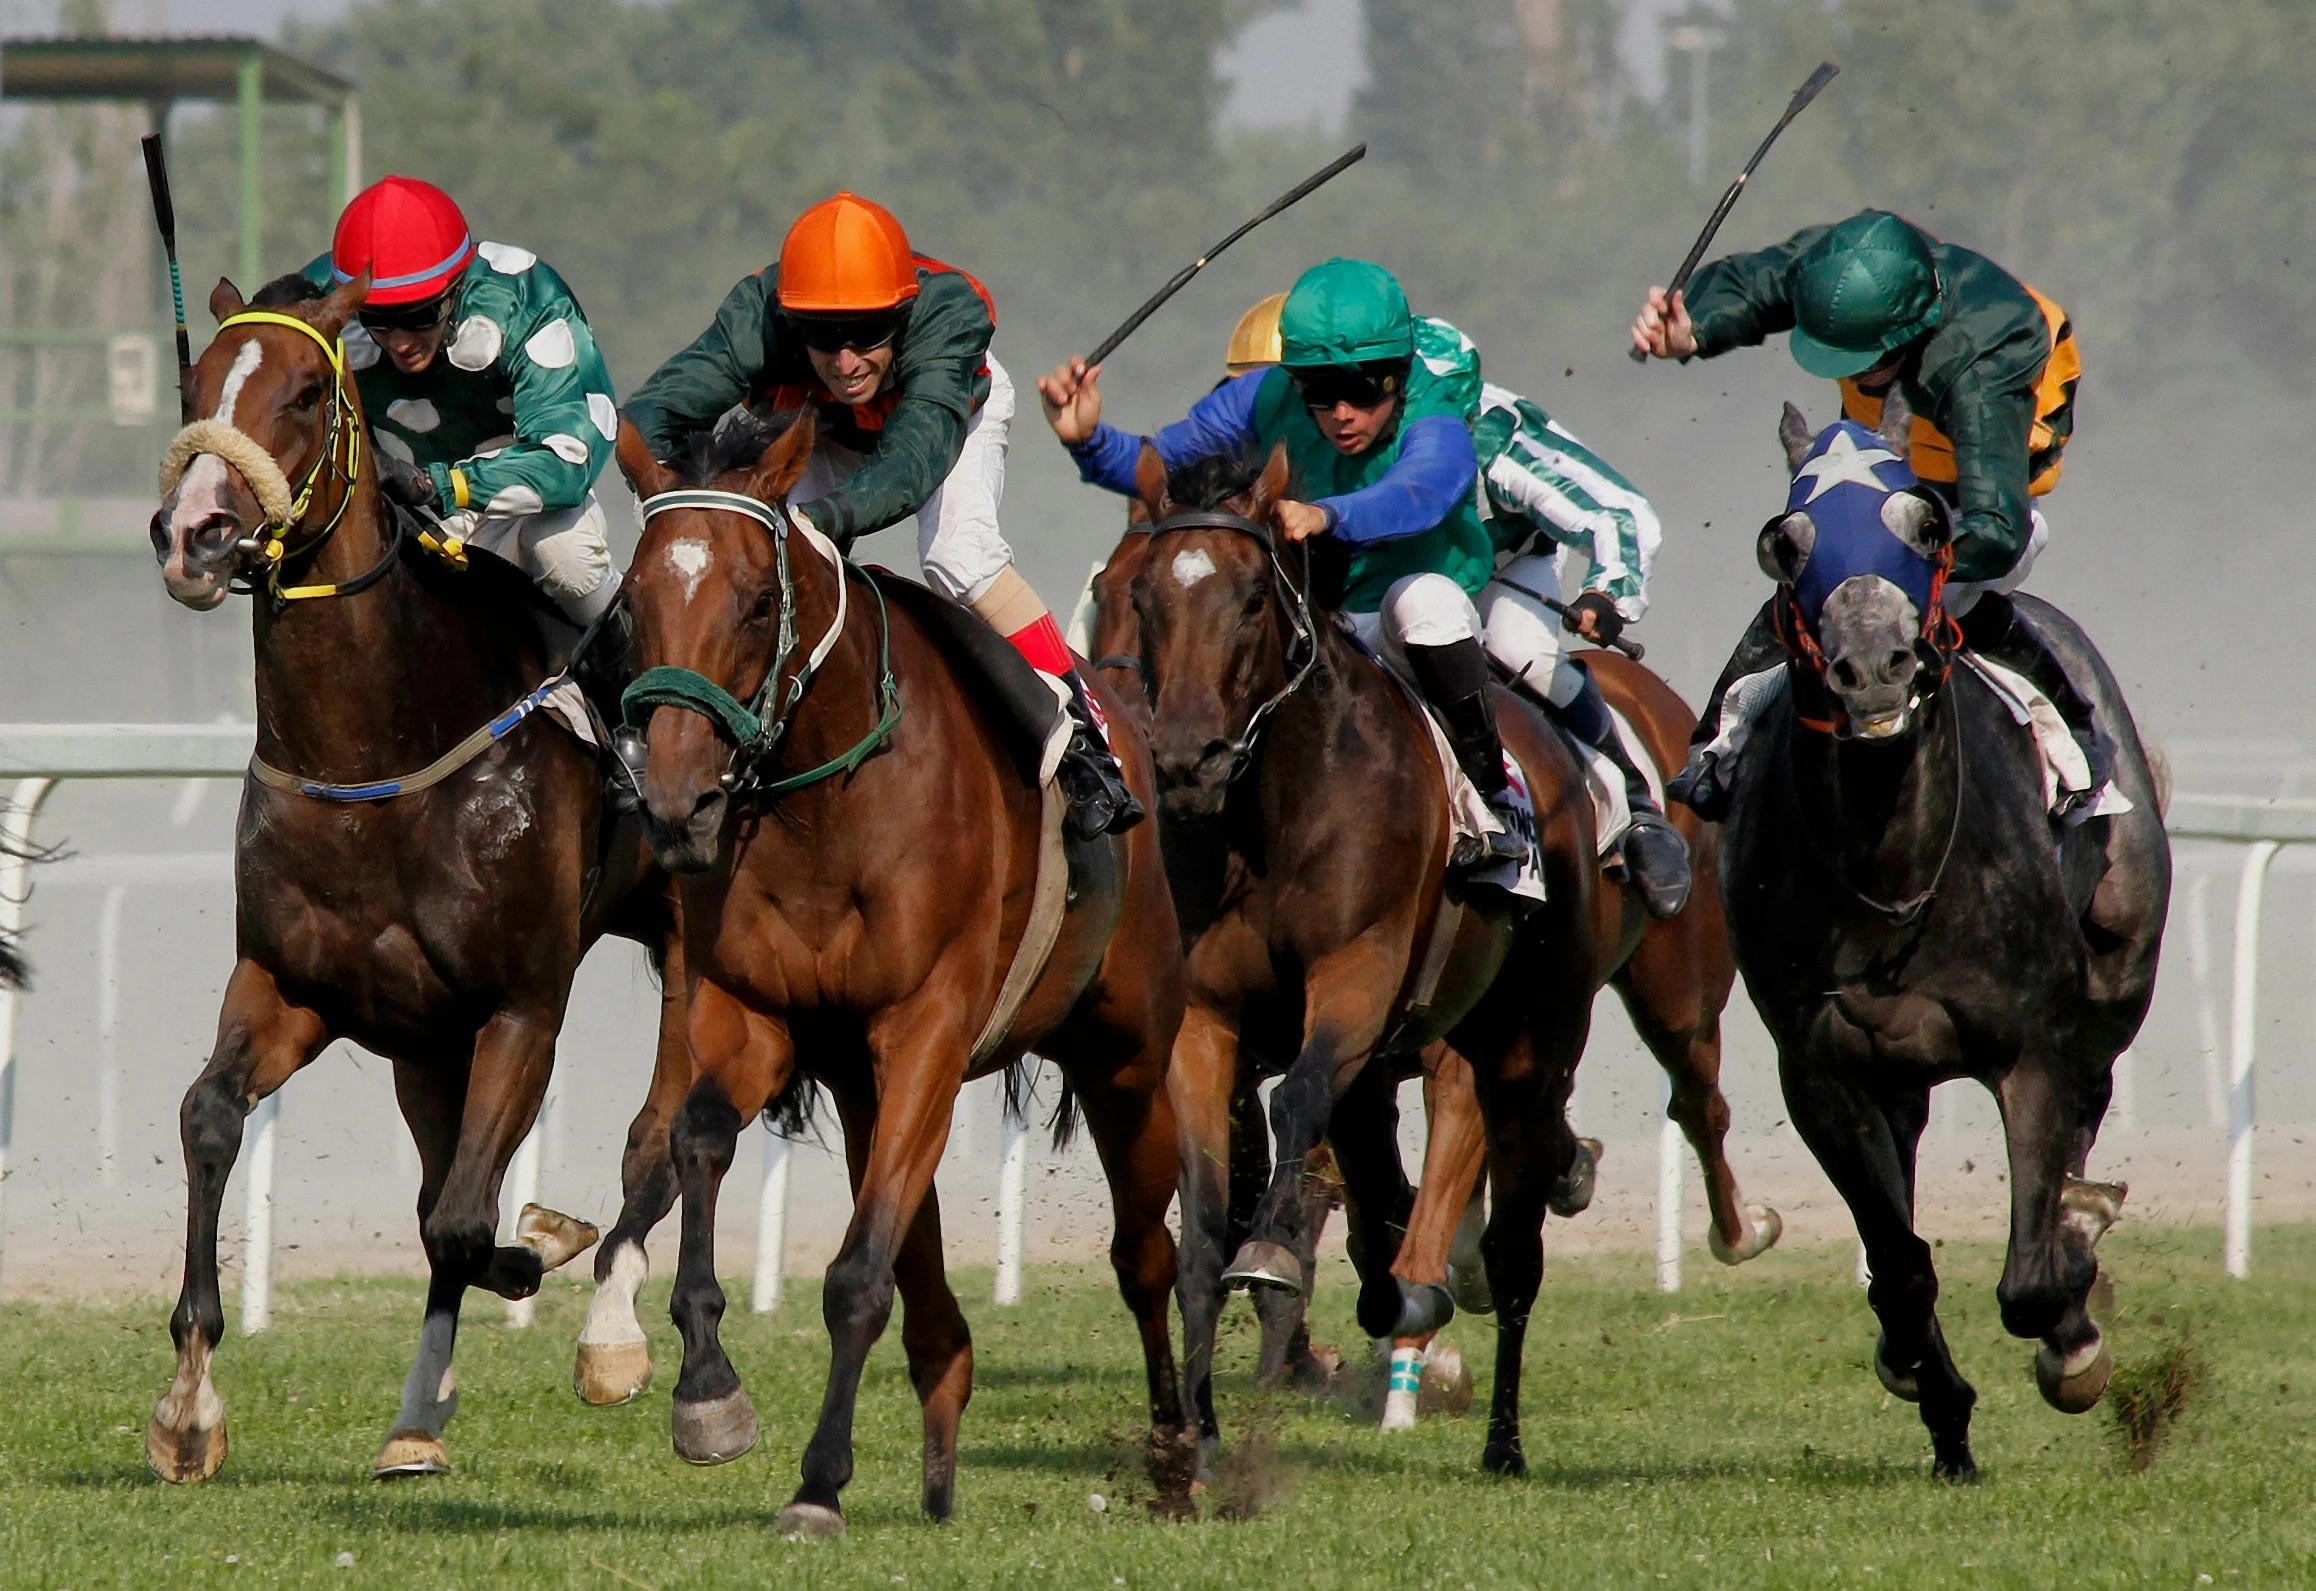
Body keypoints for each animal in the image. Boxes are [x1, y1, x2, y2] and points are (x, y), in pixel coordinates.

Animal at [147, 270, 662, 1482]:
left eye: (300, 391)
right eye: (195, 387)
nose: (194, 533)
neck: (374, 760)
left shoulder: (521, 1005)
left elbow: (468, 1221)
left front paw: (547, 1240)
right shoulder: (298, 988)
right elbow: (212, 1116)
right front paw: (190, 1401)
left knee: (670, 1127)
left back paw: (611, 1333)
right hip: (423, 1042)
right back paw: (416, 1419)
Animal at [616, 409, 1195, 1546]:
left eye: (757, 601)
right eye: (634, 601)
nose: (676, 804)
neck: (827, 806)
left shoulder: (927, 1024)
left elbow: (854, 1275)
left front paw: (818, 1483)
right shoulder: (757, 1015)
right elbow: (696, 1139)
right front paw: (709, 1390)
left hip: (1128, 1052)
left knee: (1149, 1255)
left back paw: (1180, 1456)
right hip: (866, 1086)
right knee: (931, 1296)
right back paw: (938, 1464)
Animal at [1732, 396, 2158, 1482]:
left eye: (1926, 525)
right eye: (1785, 541)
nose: (1872, 670)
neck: (1895, 866)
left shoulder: (2031, 1050)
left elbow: (2031, 1281)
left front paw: (2073, 1331)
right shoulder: (1823, 1069)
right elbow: (1899, 1263)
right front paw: (1944, 1407)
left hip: (2116, 974)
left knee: (2090, 1099)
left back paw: (2079, 1221)